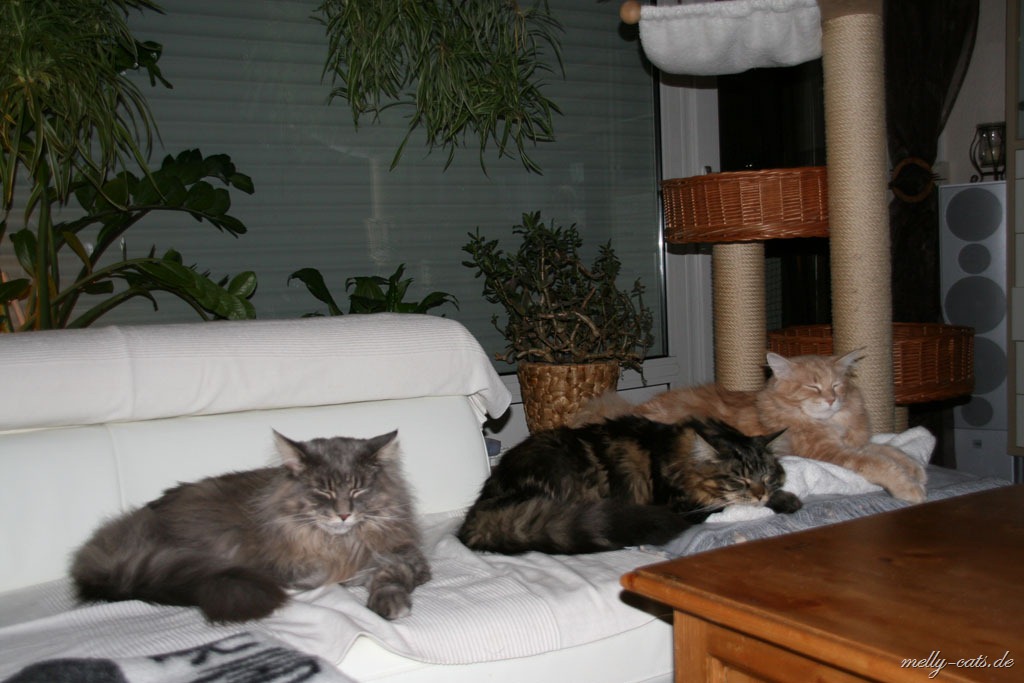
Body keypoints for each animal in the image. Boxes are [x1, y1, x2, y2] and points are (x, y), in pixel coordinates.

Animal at [71, 430, 430, 623]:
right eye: (323, 492)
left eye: (357, 490)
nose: (343, 515)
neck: (340, 544)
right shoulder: (288, 568)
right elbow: (326, 575)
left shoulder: (408, 556)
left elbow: (391, 573)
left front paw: (388, 601)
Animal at [457, 415, 801, 555]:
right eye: (738, 479)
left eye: (766, 477)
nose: (761, 493)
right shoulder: (682, 506)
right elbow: (725, 503)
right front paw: (787, 501)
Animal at [574, 350, 927, 503]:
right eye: (813, 388)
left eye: (836, 386)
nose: (830, 400)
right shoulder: (833, 452)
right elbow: (879, 463)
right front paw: (911, 489)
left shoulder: (855, 443)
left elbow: (890, 450)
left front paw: (917, 470)